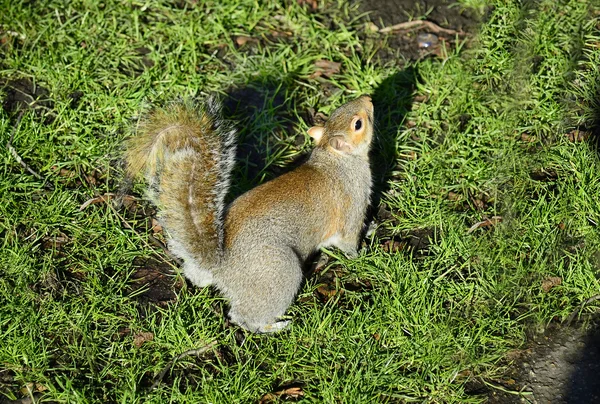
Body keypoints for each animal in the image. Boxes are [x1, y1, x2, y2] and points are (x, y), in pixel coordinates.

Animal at [124, 94, 372, 332]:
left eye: (338, 109)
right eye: (358, 124)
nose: (368, 98)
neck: (335, 159)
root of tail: (222, 268)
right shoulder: (352, 204)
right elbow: (348, 240)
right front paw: (362, 254)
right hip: (279, 271)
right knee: (242, 316)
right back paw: (274, 327)